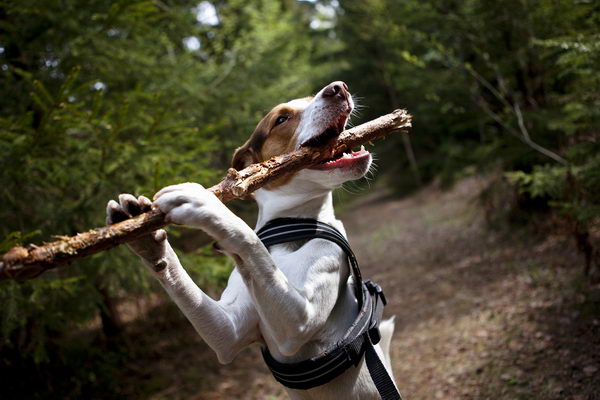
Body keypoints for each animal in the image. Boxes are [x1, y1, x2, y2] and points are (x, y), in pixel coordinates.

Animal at [106, 82, 398, 400]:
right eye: (281, 119)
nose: (338, 88)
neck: (290, 229)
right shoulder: (228, 332)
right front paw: (146, 237)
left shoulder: (300, 319)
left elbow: (247, 238)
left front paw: (207, 203)